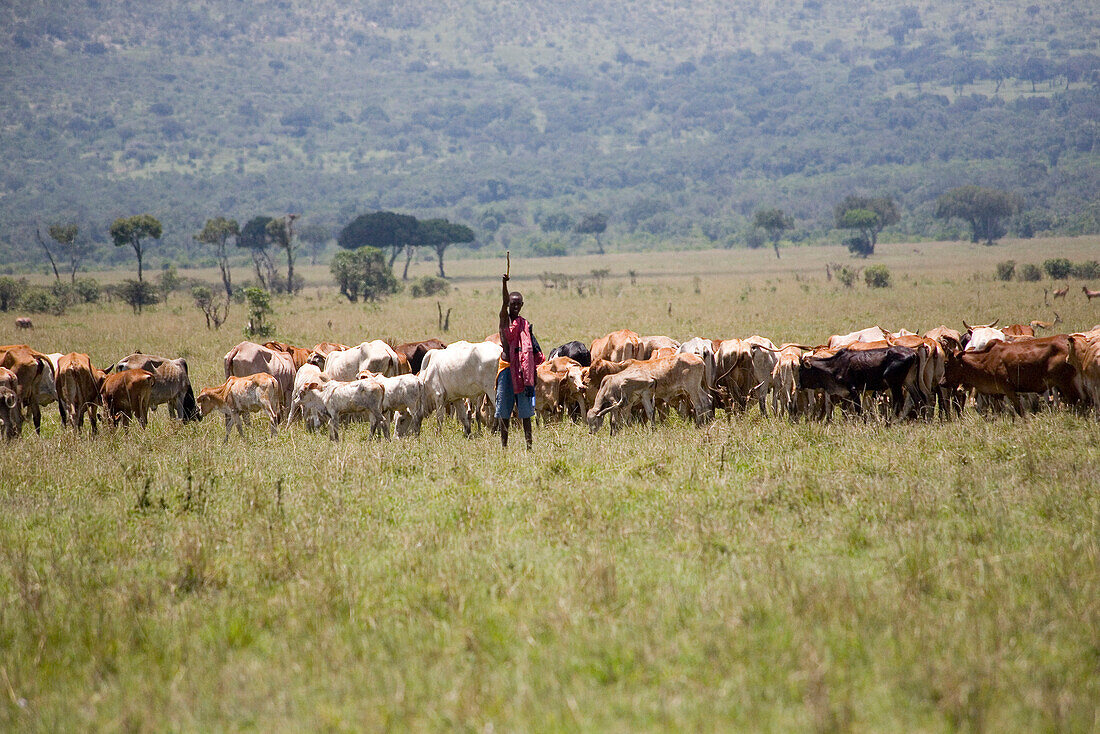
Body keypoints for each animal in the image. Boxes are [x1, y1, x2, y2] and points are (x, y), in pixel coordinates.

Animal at [796, 345, 924, 418]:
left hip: (894, 384)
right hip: (909, 382)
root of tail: (913, 353)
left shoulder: (853, 389)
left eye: (801, 369)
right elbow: (846, 412)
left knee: (899, 403)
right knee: (918, 400)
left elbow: (858, 410)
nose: (798, 386)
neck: (834, 366)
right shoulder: (846, 394)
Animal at [937, 336, 1082, 415]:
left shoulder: (1009, 390)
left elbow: (1019, 411)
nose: (941, 382)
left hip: (1066, 383)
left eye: (946, 363)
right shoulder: (997, 393)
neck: (985, 359)